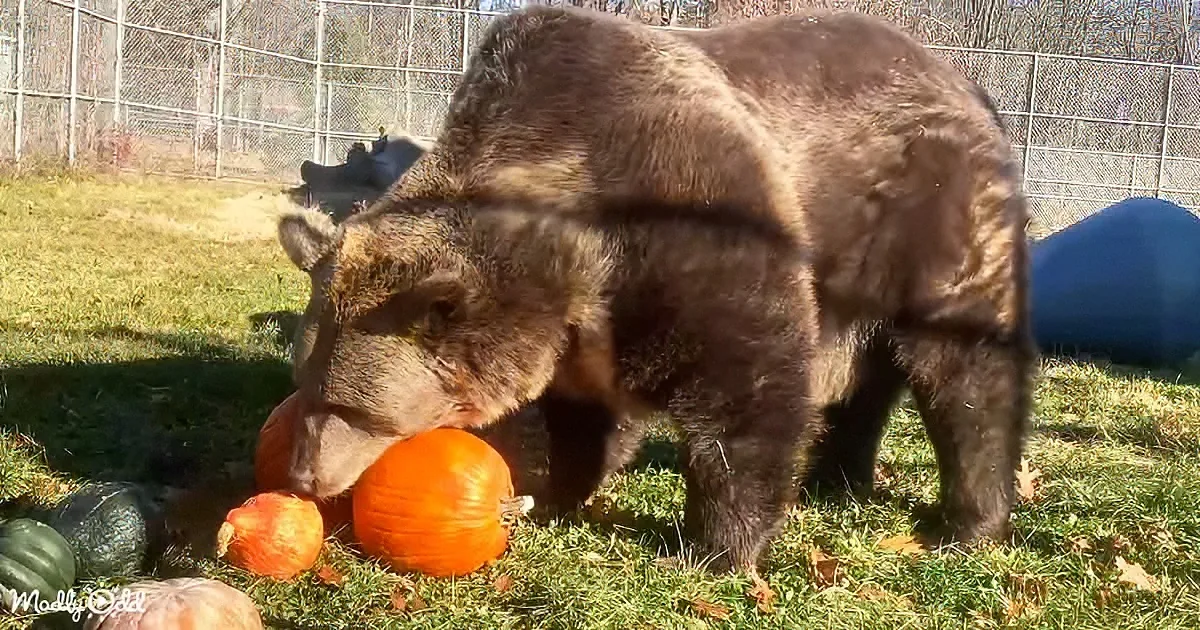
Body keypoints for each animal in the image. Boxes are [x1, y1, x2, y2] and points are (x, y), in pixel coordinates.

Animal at [275, 5, 1035, 576]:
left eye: (354, 407)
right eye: (307, 384)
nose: (303, 478)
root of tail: (968, 83)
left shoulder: (693, 215)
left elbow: (744, 389)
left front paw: (716, 547)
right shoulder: (583, 321)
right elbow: (584, 413)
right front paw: (558, 489)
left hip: (927, 209)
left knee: (964, 365)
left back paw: (972, 518)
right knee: (866, 378)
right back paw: (836, 477)